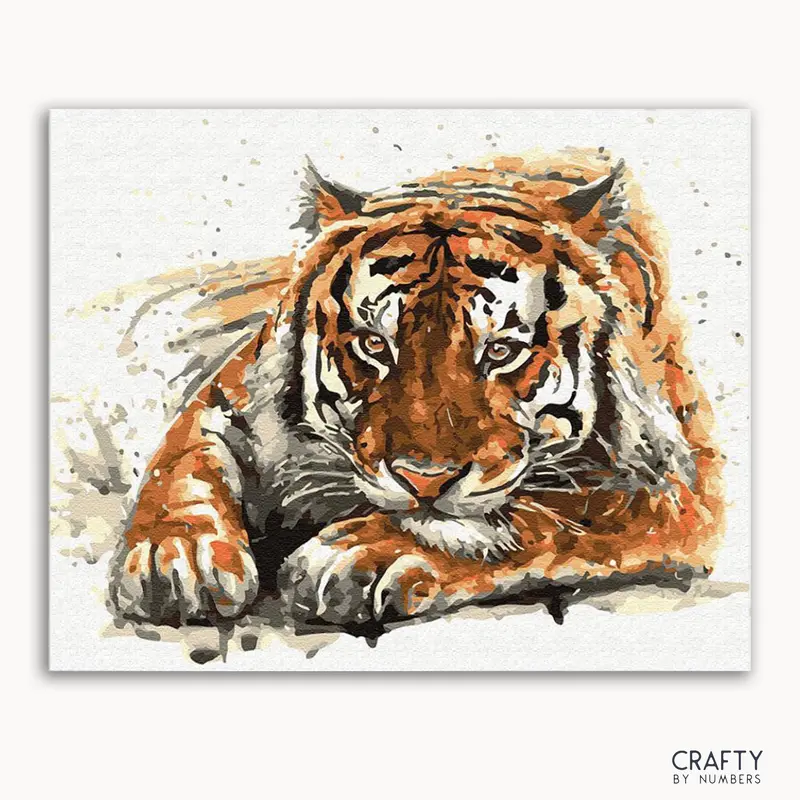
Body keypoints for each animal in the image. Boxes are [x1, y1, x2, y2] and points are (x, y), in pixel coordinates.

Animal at [108, 148, 725, 631]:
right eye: (374, 346)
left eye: (500, 351)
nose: (423, 480)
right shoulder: (230, 399)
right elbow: (182, 461)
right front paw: (176, 552)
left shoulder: (673, 483)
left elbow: (546, 514)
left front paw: (359, 553)